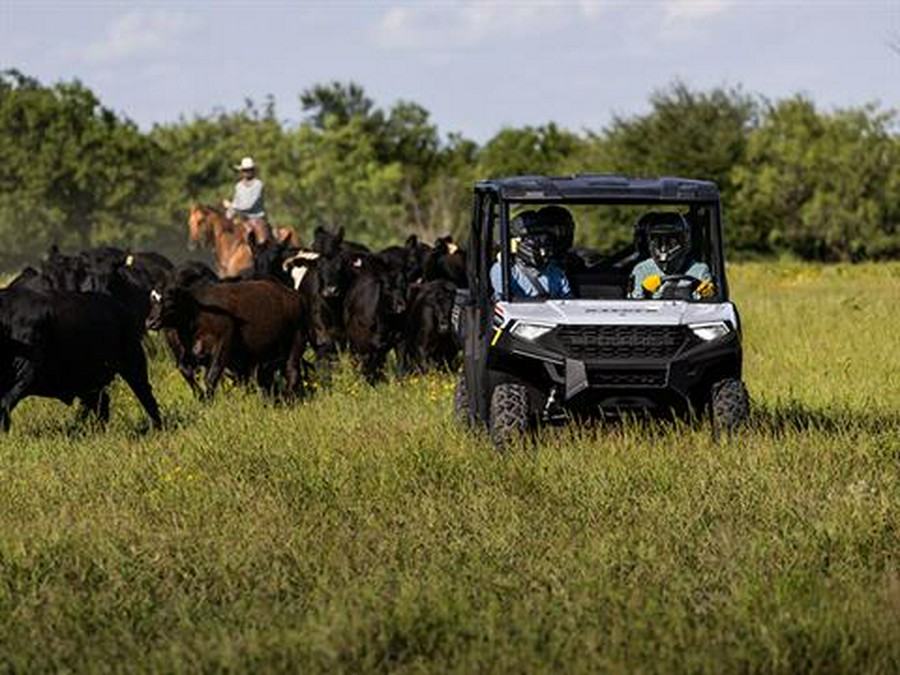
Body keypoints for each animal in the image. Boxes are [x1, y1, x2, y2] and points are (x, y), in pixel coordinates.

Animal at [0, 288, 160, 430]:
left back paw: (157, 425)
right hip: (87, 380)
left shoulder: (28, 375)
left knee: (146, 396)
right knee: (101, 402)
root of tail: (121, 308)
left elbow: (5, 402)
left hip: (133, 365)